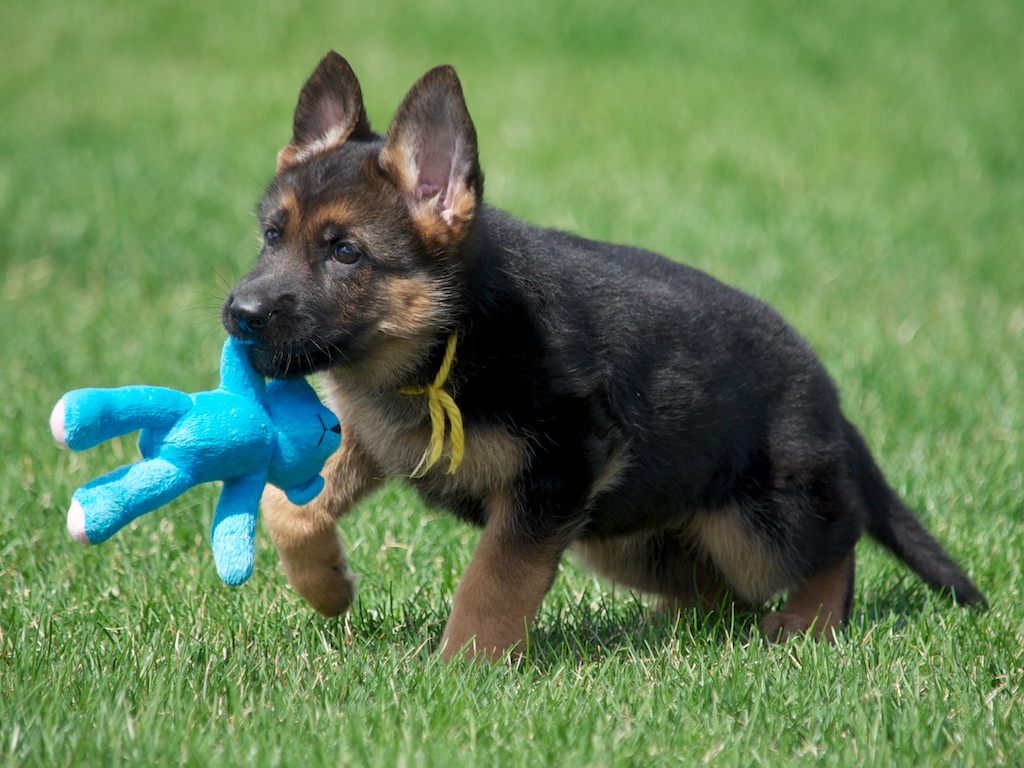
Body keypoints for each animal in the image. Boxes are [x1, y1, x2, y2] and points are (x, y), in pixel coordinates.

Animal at [222, 51, 983, 663]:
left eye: (346, 253)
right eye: (272, 235)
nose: (240, 316)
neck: (446, 340)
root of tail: (828, 394)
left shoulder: (556, 472)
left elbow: (494, 580)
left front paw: (463, 666)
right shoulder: (371, 436)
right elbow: (285, 507)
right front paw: (328, 588)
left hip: (756, 522)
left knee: (834, 539)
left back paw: (810, 622)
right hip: (621, 532)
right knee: (720, 593)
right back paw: (664, 630)